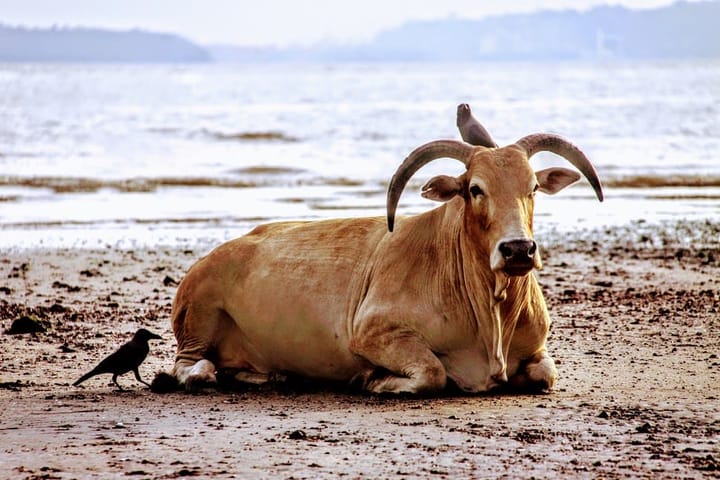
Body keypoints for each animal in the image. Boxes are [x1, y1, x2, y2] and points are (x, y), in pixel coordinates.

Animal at [168, 108, 603, 395]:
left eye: (533, 187)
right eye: (475, 189)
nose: (517, 250)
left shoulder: (538, 349)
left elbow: (545, 374)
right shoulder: (372, 332)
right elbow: (432, 373)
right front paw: (373, 379)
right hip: (198, 318)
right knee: (187, 365)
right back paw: (206, 375)